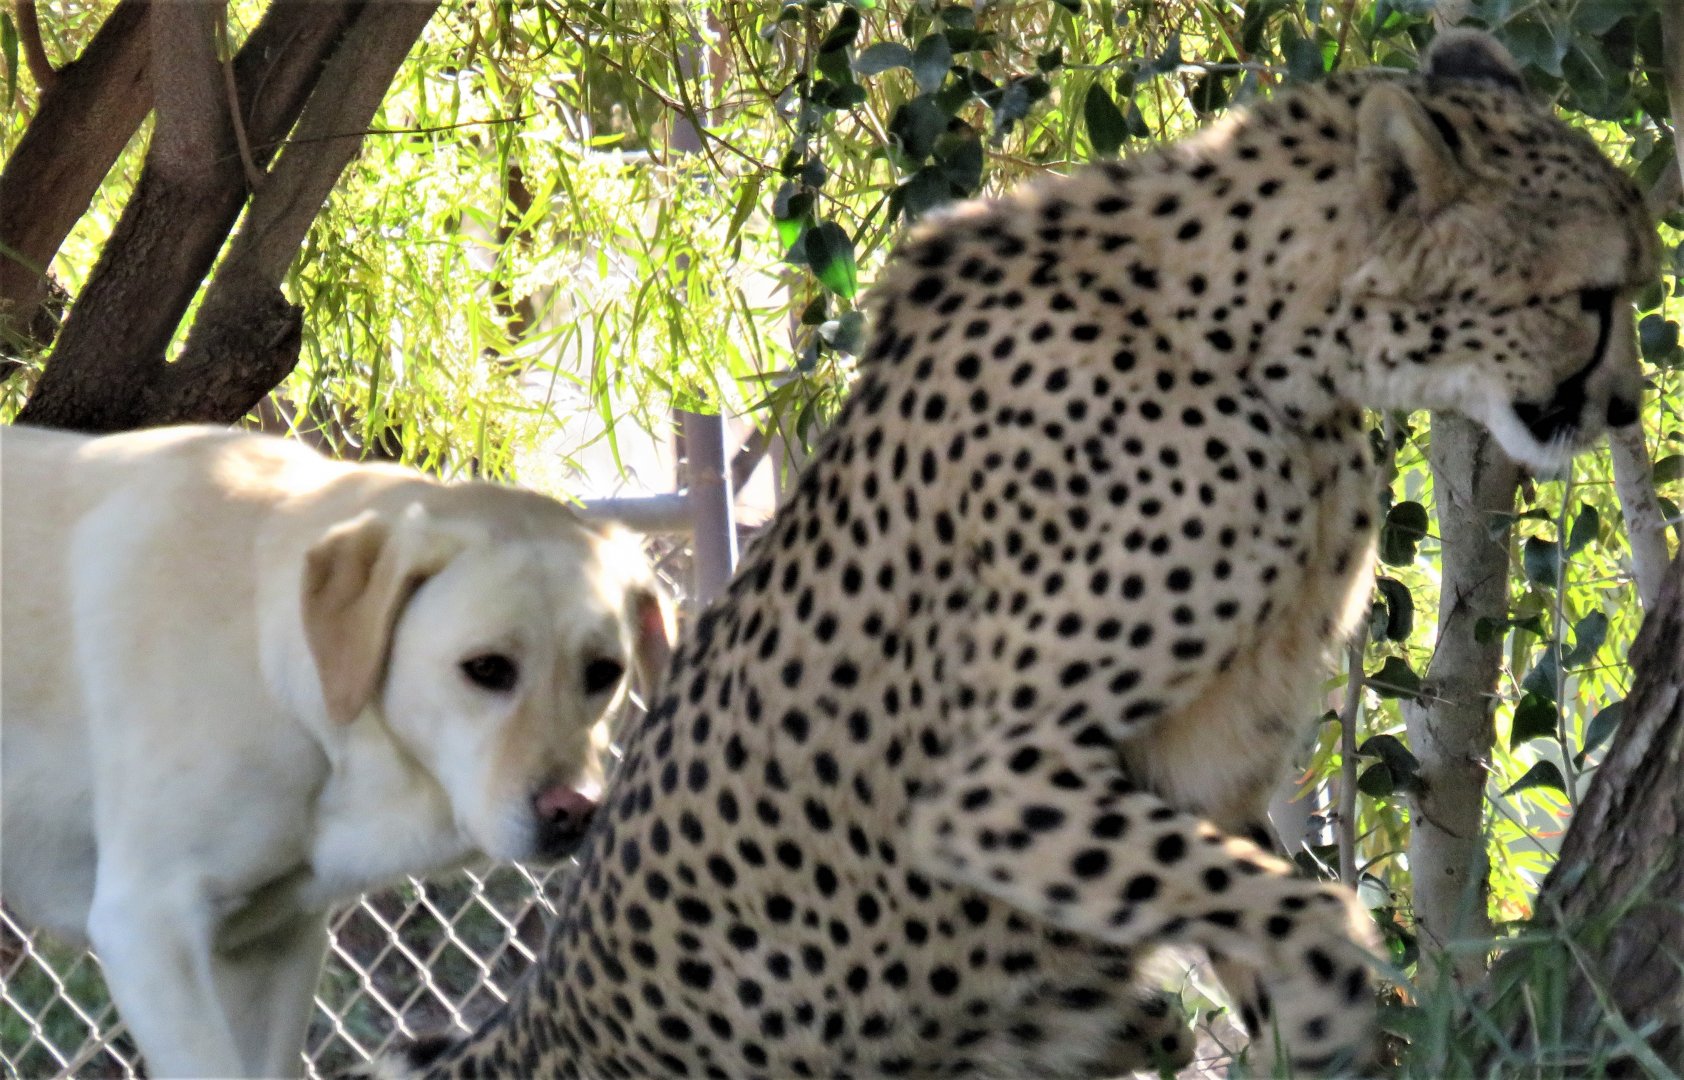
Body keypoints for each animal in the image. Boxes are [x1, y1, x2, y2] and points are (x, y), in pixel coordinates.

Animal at [387, 29, 1656, 1079]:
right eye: (1594, 298)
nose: (1628, 409)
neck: (1269, 346)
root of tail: (525, 1028)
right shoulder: (987, 784)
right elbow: (1295, 910)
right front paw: (1334, 1013)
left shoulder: (1194, 768)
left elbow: (1245, 894)